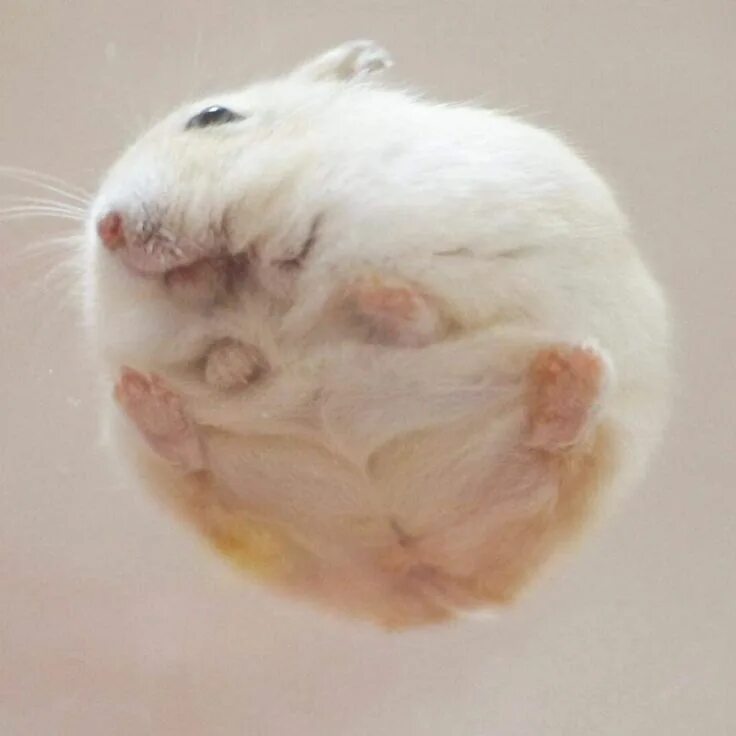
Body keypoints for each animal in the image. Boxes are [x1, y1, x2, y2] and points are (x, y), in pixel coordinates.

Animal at [84, 40, 670, 628]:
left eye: (213, 117)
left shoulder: (462, 266)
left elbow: (424, 314)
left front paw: (370, 292)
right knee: (189, 459)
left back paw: (571, 370)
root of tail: (420, 581)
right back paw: (143, 395)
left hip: (603, 435)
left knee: (560, 446)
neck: (253, 273)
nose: (106, 229)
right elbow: (216, 356)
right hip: (187, 481)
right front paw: (234, 362)